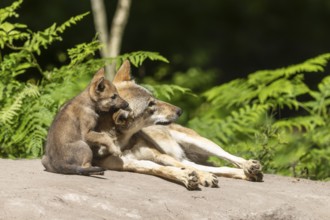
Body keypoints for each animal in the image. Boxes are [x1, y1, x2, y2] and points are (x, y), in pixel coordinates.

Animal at [93, 61, 262, 190]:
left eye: (154, 98)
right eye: (150, 105)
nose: (180, 111)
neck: (124, 143)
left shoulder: (160, 155)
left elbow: (188, 168)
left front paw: (200, 177)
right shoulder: (128, 163)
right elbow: (163, 169)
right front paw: (186, 177)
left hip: (200, 144)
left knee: (227, 157)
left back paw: (250, 167)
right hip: (187, 156)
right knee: (217, 168)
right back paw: (248, 175)